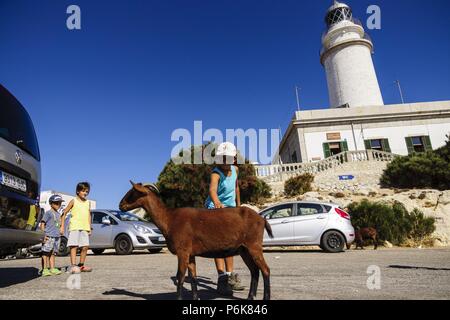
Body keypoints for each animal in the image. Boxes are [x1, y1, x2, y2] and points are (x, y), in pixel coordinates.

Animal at [118, 182, 274, 300]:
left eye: (132, 193)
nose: (120, 205)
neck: (169, 219)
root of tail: (262, 219)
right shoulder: (191, 254)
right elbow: (192, 277)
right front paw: (195, 298)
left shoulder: (183, 251)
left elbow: (180, 277)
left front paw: (179, 298)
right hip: (244, 249)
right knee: (254, 271)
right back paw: (250, 297)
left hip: (254, 245)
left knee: (265, 270)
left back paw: (265, 297)